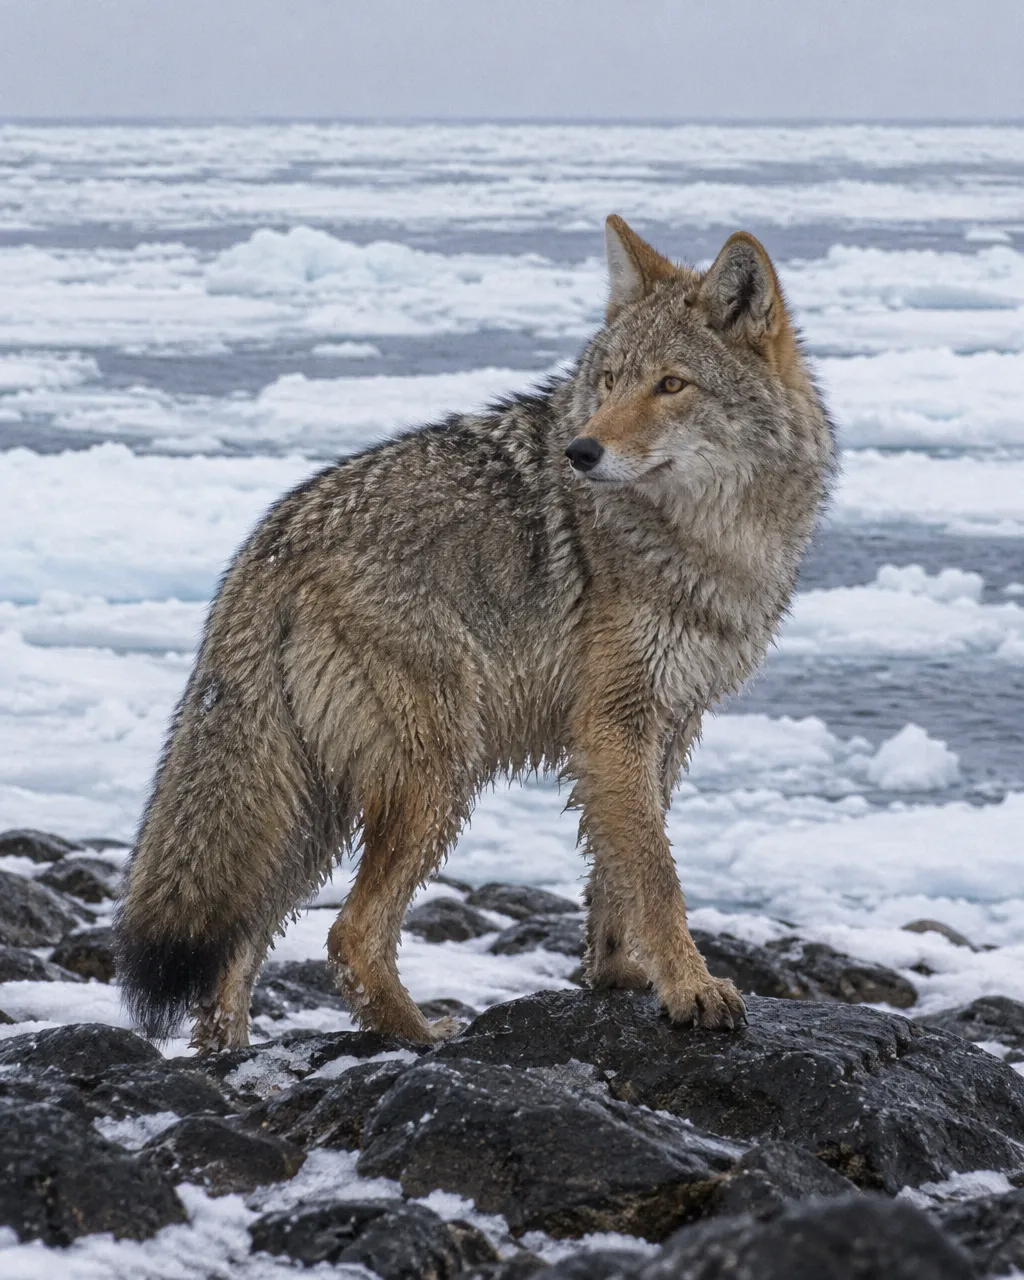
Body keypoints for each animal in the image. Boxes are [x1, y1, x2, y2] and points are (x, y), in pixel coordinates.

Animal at [115, 216, 836, 1052]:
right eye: (610, 379)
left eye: (670, 385)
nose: (581, 452)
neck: (714, 536)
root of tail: (267, 541)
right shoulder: (612, 723)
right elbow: (657, 877)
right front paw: (691, 988)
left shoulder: (668, 723)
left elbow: (619, 873)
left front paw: (619, 974)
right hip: (438, 772)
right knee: (348, 936)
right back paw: (423, 1036)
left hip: (313, 807)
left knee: (239, 952)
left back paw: (231, 1056)